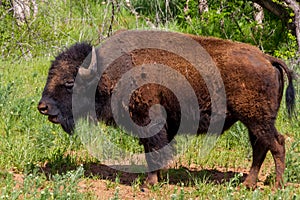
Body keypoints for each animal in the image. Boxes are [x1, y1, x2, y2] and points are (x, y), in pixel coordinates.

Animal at [38, 29, 296, 188]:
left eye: (69, 83)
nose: (43, 107)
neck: (107, 72)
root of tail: (267, 58)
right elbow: (155, 151)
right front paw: (158, 179)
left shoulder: (147, 120)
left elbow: (153, 150)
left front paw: (149, 183)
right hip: (254, 121)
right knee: (261, 148)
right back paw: (248, 184)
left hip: (257, 120)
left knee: (277, 144)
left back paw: (276, 185)